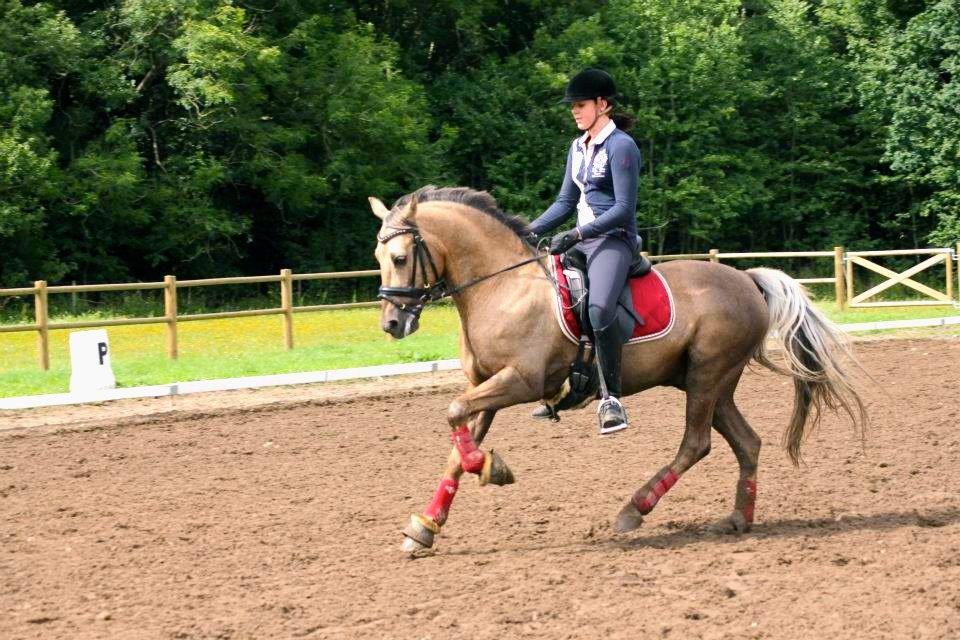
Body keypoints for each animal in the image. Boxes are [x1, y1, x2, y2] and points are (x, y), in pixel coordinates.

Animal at [370, 186, 867, 555]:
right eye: (379, 259)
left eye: (399, 258)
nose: (392, 324)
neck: (501, 287)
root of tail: (746, 279)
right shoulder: (485, 385)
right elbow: (458, 441)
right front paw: (425, 528)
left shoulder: (522, 381)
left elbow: (455, 418)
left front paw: (495, 470)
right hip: (713, 383)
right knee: (746, 442)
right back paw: (737, 519)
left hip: (706, 377)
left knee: (696, 443)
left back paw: (634, 508)